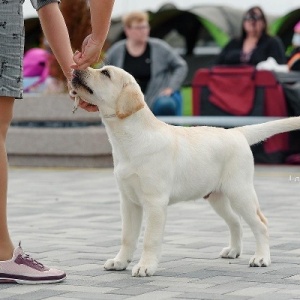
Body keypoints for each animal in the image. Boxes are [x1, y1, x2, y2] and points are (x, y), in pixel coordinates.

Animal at [71, 65, 300, 276]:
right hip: (217, 196)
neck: (129, 139)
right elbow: (127, 236)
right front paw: (119, 262)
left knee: (261, 223)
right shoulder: (128, 202)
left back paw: (261, 258)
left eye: (105, 73)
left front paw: (145, 267)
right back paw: (233, 250)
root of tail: (237, 132)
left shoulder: (155, 203)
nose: (75, 69)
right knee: (235, 221)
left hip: (240, 192)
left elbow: (149, 239)